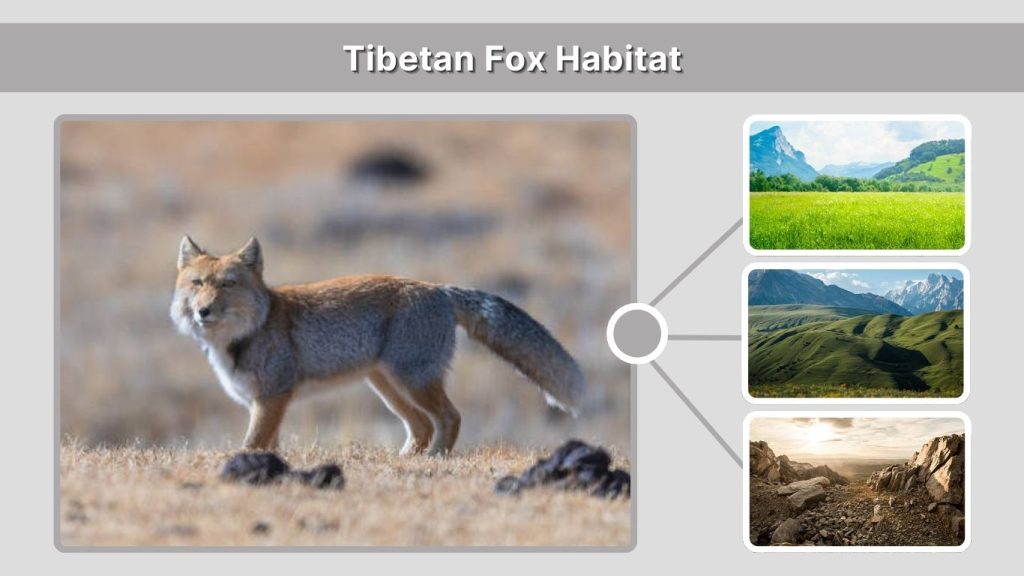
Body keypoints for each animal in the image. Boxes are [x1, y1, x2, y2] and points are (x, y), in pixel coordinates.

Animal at [170, 236, 585, 456]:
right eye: (197, 283)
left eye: (228, 284)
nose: (204, 310)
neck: (243, 335)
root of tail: (439, 289)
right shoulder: (266, 402)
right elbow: (267, 445)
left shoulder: (273, 397)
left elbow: (251, 444)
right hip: (388, 387)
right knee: (421, 425)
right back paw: (409, 460)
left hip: (412, 381)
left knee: (450, 417)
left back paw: (435, 459)